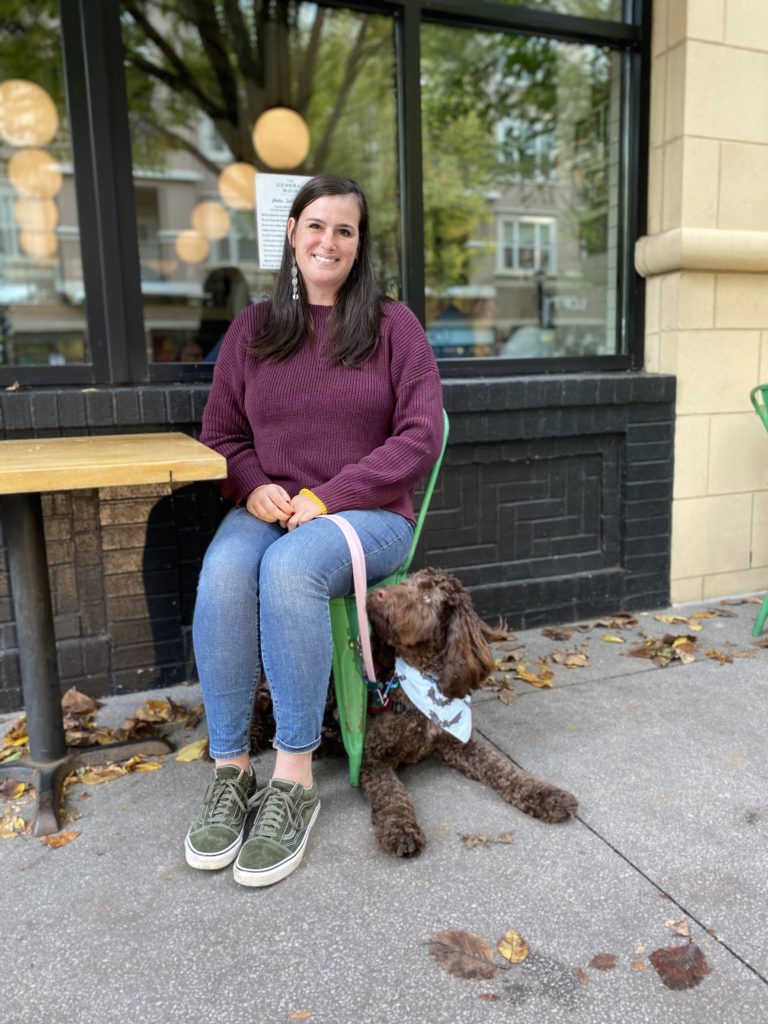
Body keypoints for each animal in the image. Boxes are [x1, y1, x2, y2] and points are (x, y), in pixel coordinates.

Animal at [364, 569, 577, 856]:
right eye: (406, 583)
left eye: (428, 597)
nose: (377, 593)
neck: (423, 676)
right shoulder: (372, 758)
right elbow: (390, 793)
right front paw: (401, 828)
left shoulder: (460, 743)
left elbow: (503, 768)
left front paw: (545, 794)